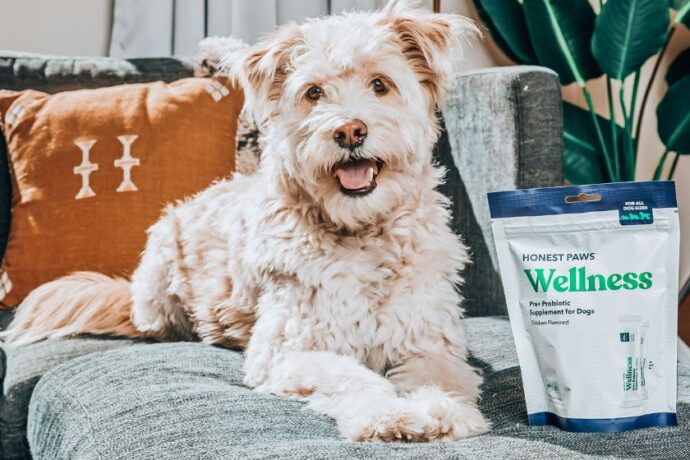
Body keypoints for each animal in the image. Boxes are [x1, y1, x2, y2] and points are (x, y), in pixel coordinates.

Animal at [5, 0, 490, 440]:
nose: (349, 131)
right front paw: (384, 415)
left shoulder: (430, 342)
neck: (362, 232)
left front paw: (444, 411)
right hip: (161, 266)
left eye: (380, 84)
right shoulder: (286, 352)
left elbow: (440, 376)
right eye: (314, 93)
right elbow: (350, 376)